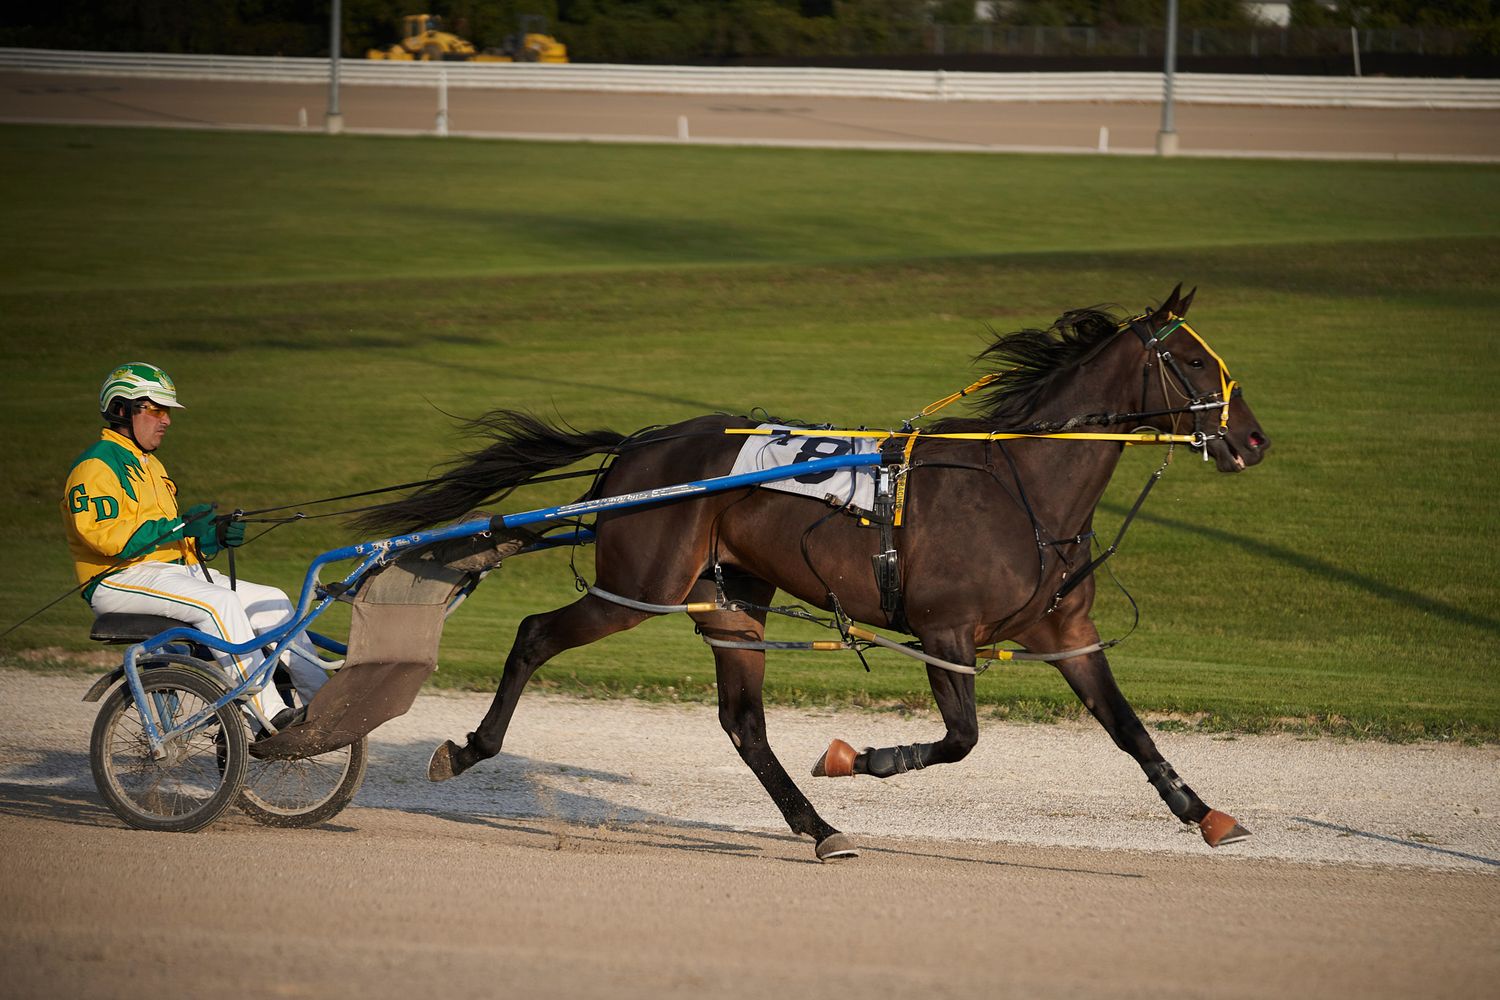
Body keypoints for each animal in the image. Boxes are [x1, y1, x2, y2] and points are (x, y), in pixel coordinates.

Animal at [357, 286, 1270, 861]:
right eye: (1193, 362)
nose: (1256, 440)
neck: (1019, 487)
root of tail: (640, 446)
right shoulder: (944, 631)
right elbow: (961, 739)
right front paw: (854, 758)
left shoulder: (1067, 631)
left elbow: (1129, 728)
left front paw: (1204, 813)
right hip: (638, 587)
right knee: (534, 634)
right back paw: (466, 749)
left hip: (729, 601)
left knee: (743, 725)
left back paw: (819, 827)